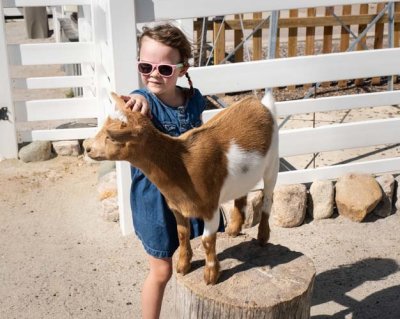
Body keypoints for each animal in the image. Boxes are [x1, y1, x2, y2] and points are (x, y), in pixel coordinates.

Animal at [85, 92, 278, 284]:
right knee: (242, 192)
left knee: (268, 198)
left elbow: (207, 240)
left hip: (272, 164)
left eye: (111, 137)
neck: (181, 163)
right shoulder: (177, 207)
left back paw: (262, 236)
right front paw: (183, 265)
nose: (87, 147)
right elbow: (182, 234)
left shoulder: (210, 208)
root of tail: (258, 102)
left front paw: (211, 275)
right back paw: (234, 228)